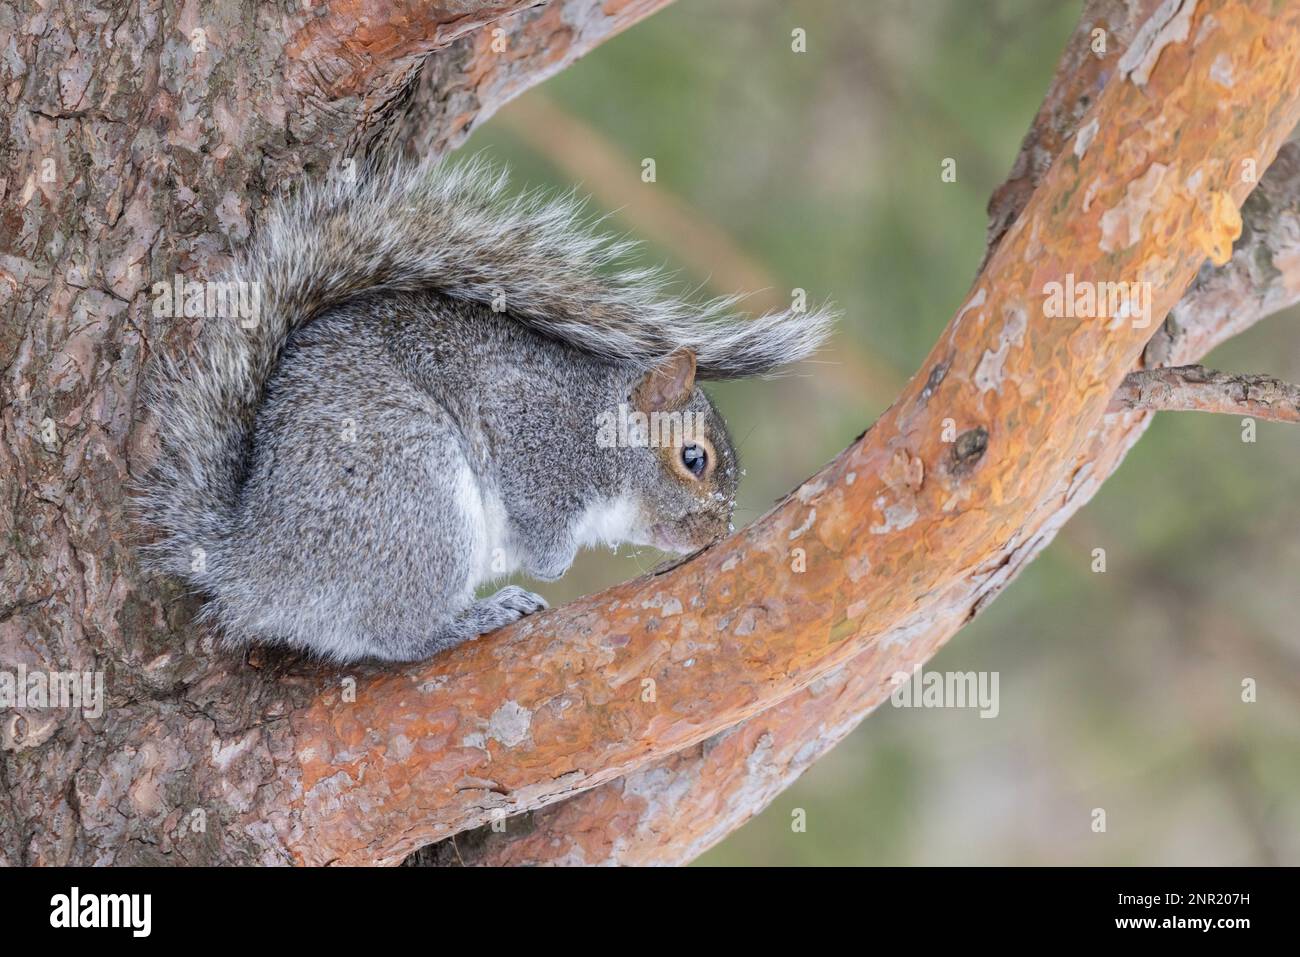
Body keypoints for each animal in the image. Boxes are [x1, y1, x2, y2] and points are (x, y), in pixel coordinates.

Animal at [138, 159, 833, 664]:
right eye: (694, 458)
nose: (716, 533)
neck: (595, 424)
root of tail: (251, 565)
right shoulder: (530, 432)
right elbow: (540, 518)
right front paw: (554, 562)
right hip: (413, 497)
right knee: (396, 636)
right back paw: (476, 616)